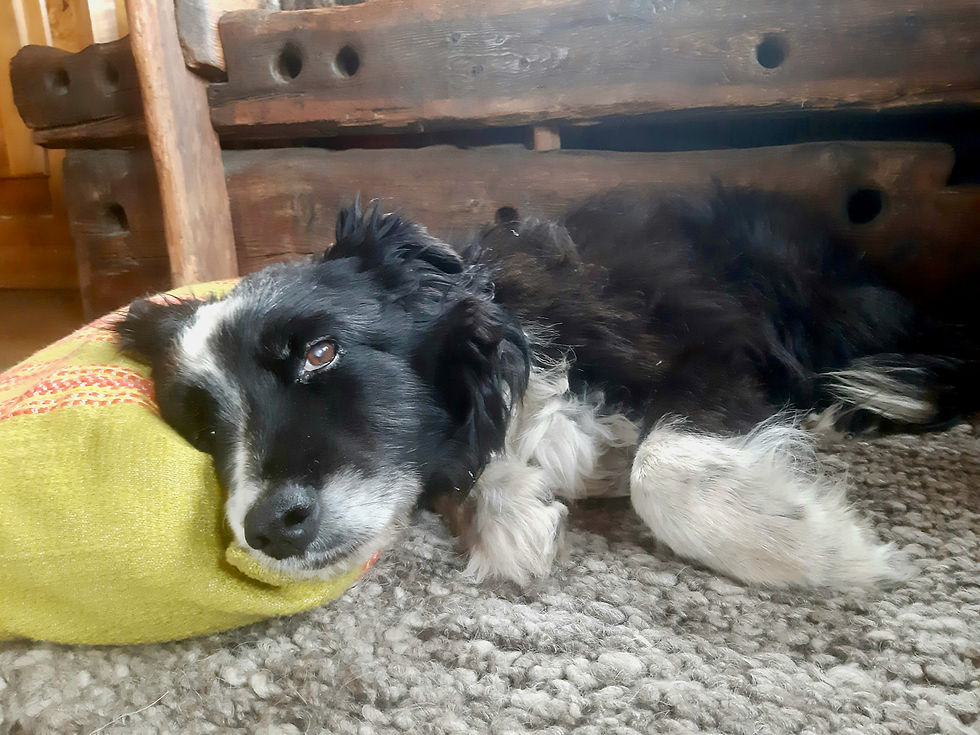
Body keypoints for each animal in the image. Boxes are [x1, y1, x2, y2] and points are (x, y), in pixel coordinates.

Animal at [116, 188, 979, 588]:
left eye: (322, 352)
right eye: (201, 427)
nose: (269, 527)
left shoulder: (713, 346)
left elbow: (660, 469)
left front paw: (815, 546)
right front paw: (509, 515)